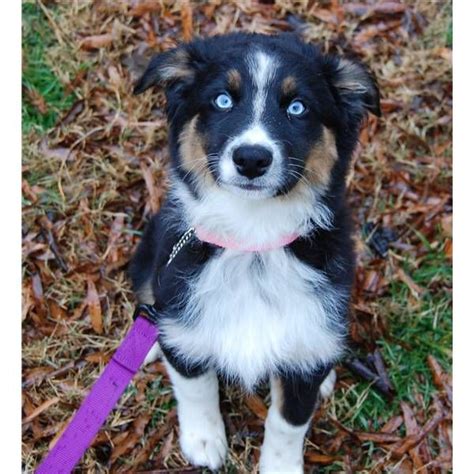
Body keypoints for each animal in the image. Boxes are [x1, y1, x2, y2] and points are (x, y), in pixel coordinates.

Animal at [130, 31, 382, 472]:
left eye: (297, 108)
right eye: (222, 100)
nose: (251, 158)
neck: (253, 240)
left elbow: (287, 423)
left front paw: (279, 465)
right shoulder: (183, 315)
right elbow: (195, 386)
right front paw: (203, 440)